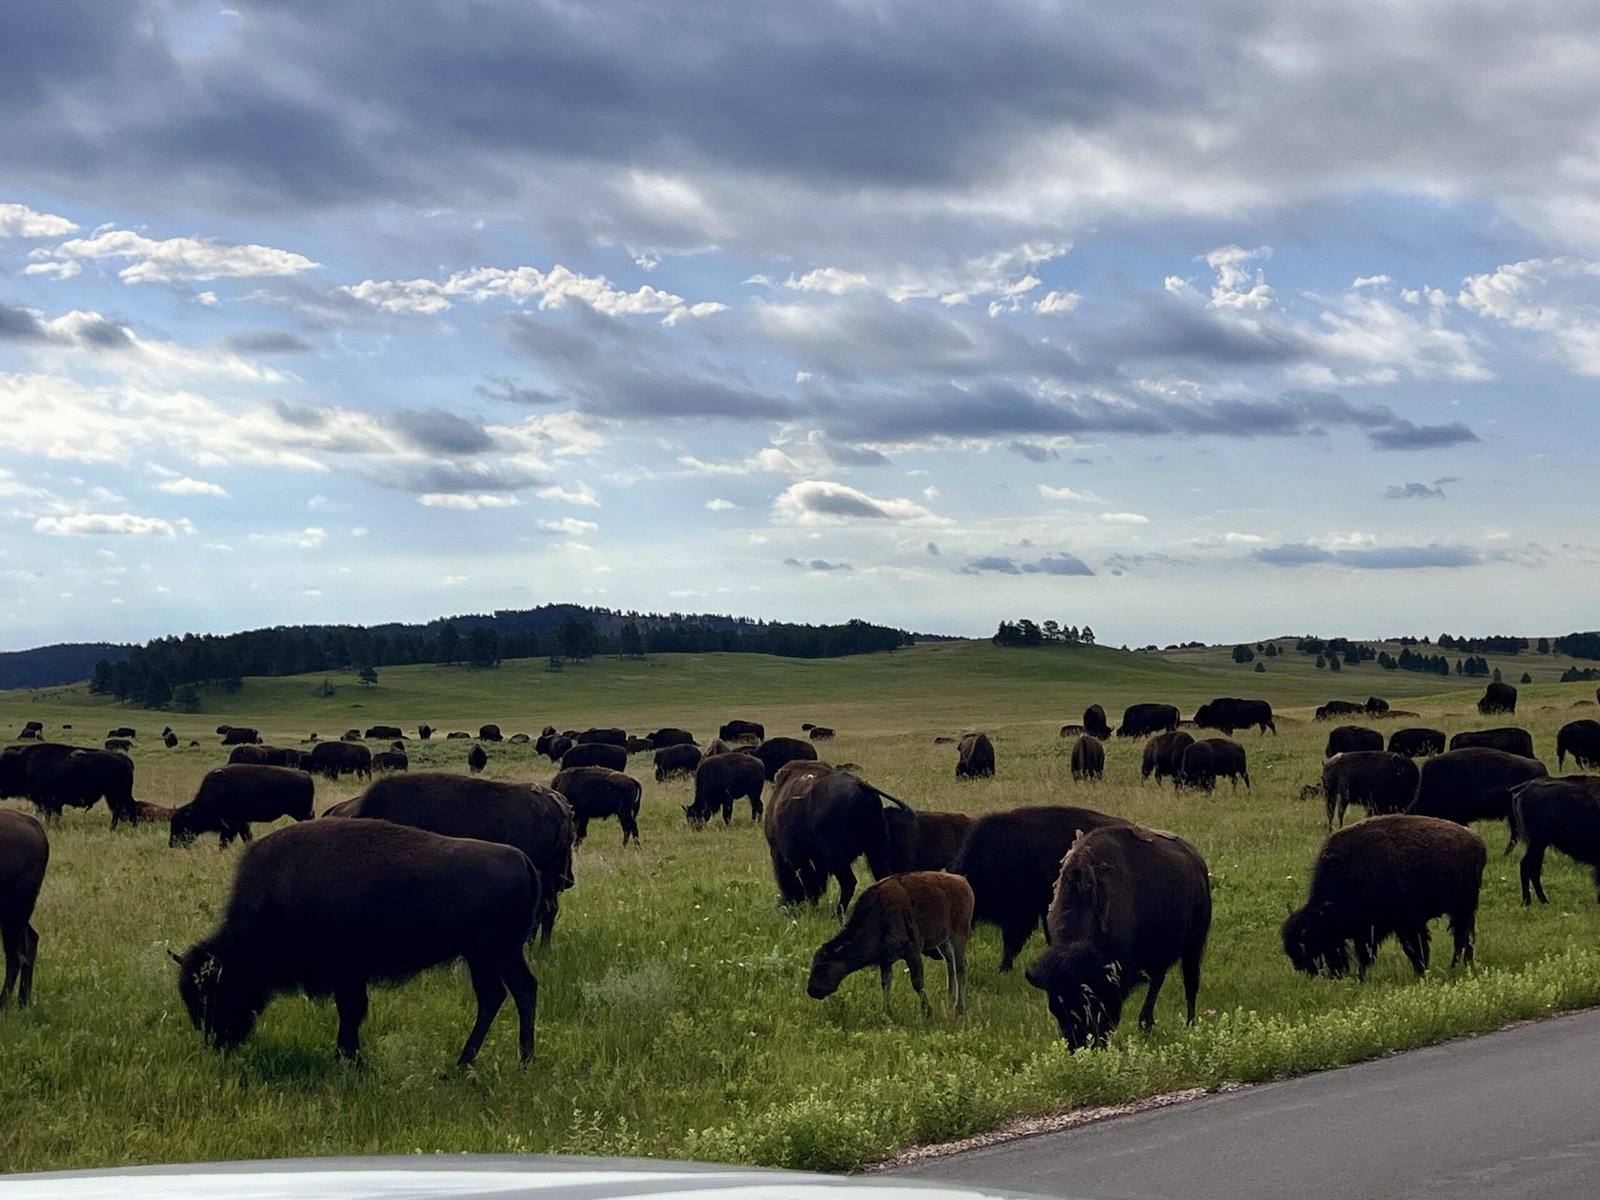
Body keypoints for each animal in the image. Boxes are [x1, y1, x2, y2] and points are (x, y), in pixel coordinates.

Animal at [170, 764, 316, 848]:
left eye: (181, 823)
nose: (171, 844)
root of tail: (306, 775)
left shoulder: (231, 825)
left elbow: (225, 842)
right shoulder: (243, 823)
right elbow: (247, 837)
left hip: (302, 813)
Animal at [174, 819, 539, 1065]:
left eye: (214, 990)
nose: (215, 1040)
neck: (278, 893)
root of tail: (522, 859)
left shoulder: (346, 973)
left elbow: (351, 1012)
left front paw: (347, 1057)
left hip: (483, 956)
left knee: (492, 996)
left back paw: (462, 1064)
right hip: (507, 954)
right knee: (524, 990)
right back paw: (524, 1058)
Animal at [1026, 825, 1211, 1050]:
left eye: (1091, 1002)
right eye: (1055, 1009)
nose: (1079, 1045)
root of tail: (1196, 860)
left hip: (1193, 946)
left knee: (1190, 985)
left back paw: (1189, 1025)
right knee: (1158, 980)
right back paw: (1146, 1023)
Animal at [1283, 814, 1485, 980]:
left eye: (1311, 941)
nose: (1307, 970)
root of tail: (1476, 841)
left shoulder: (1405, 924)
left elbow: (1413, 948)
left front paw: (1420, 971)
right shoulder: (1367, 929)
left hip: (1463, 908)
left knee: (1461, 939)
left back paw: (1456, 967)